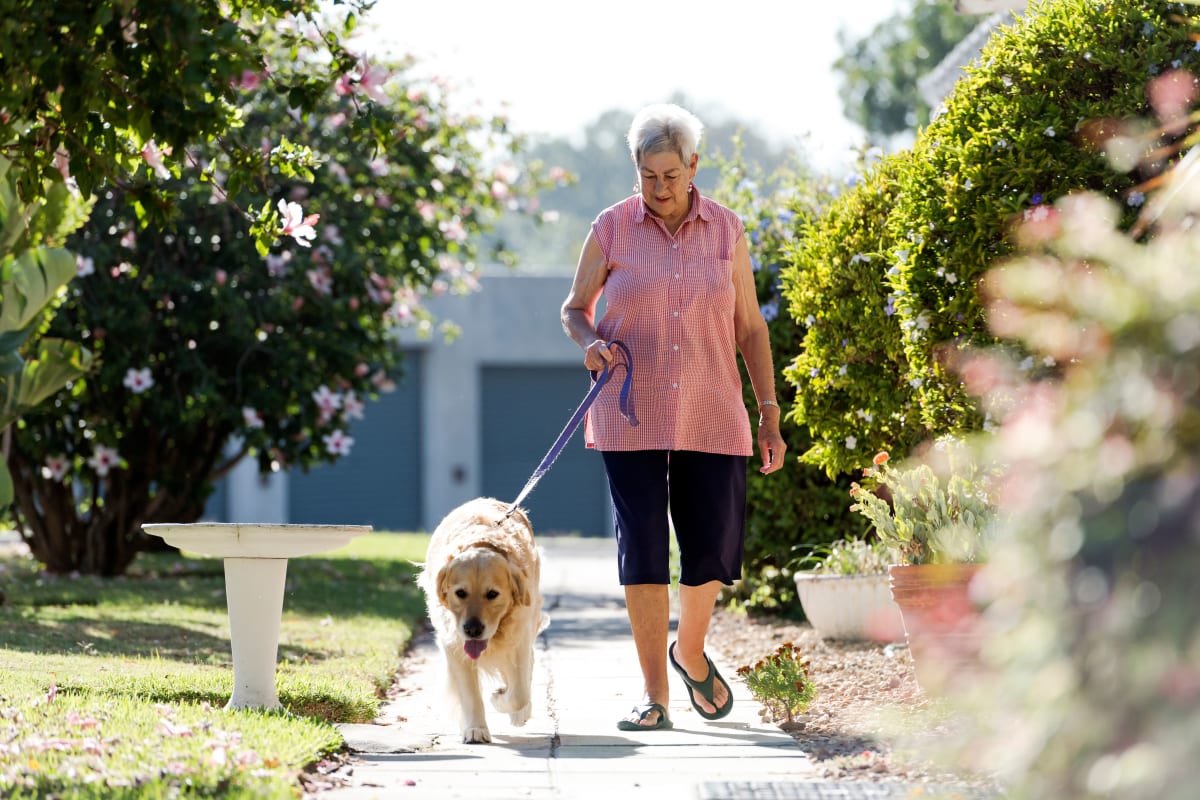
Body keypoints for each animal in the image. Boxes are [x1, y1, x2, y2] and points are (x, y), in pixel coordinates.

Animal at [417, 494, 549, 743]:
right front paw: (475, 729)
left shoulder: (519, 634)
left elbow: (519, 691)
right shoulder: (453, 643)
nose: (473, 629)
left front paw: (500, 700)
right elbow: (469, 692)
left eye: (492, 594)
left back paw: (519, 712)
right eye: (460, 593)